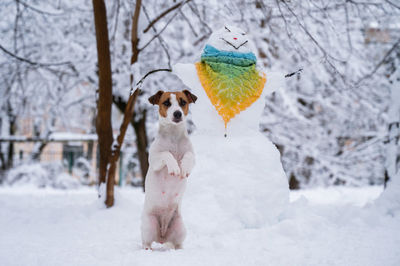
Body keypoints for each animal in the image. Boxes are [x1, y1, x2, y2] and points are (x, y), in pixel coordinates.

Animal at [141, 89, 197, 249]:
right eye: (166, 103)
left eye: (183, 102)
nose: (177, 113)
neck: (174, 136)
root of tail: (162, 237)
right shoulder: (155, 160)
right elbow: (166, 154)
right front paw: (175, 168)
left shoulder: (193, 156)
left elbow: (189, 156)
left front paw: (183, 167)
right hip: (148, 226)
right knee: (146, 243)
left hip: (180, 227)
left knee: (178, 244)